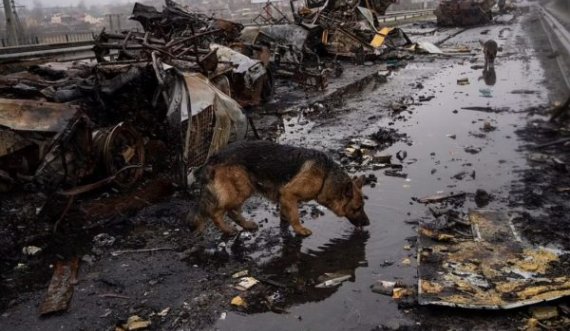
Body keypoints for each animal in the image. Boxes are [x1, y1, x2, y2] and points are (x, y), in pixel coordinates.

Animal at [189, 141, 370, 237]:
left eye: (362, 207)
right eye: (357, 208)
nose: (368, 223)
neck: (326, 176)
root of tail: (214, 157)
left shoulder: (285, 198)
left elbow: (285, 215)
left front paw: (285, 229)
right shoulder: (289, 194)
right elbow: (295, 216)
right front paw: (300, 230)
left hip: (243, 189)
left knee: (231, 211)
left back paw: (246, 225)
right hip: (240, 190)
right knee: (216, 212)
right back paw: (228, 230)